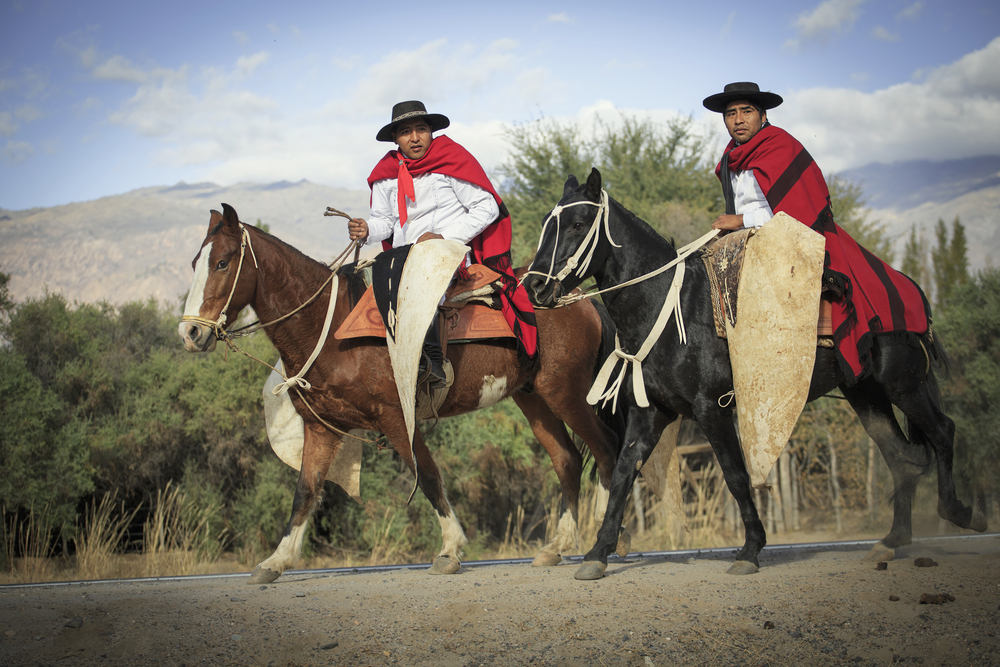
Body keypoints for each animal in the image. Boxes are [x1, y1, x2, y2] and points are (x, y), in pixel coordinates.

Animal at [176, 204, 620, 584]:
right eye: (196, 263)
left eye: (222, 262)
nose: (190, 333)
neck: (331, 329)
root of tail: (577, 300)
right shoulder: (323, 428)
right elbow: (305, 491)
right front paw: (276, 561)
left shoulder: (394, 416)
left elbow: (428, 476)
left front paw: (451, 548)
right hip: (533, 397)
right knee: (567, 459)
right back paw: (557, 546)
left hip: (567, 393)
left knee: (605, 450)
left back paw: (606, 539)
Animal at [520, 170, 988, 580]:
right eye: (547, 225)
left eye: (577, 224)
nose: (535, 288)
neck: (670, 306)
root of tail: (912, 290)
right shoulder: (651, 412)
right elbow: (622, 472)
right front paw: (598, 553)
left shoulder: (712, 409)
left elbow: (735, 474)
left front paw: (750, 548)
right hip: (866, 395)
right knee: (901, 458)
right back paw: (892, 540)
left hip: (904, 383)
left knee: (942, 433)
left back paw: (961, 512)